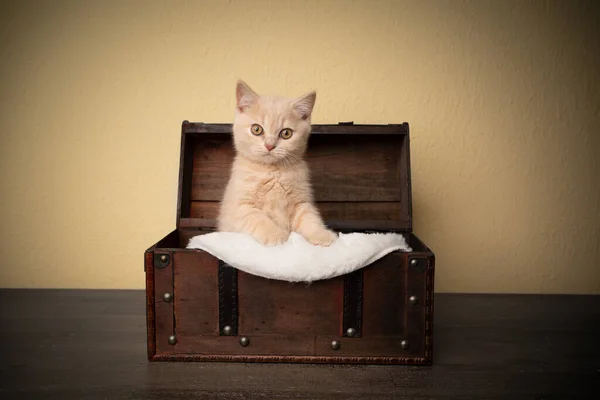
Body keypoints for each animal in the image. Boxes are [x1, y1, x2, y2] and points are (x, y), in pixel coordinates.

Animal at [217, 79, 338, 245]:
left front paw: (321, 234)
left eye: (286, 133)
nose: (270, 145)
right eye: (256, 129)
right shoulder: (238, 207)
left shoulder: (300, 202)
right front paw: (276, 234)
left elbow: (309, 218)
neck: (271, 171)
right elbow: (257, 218)